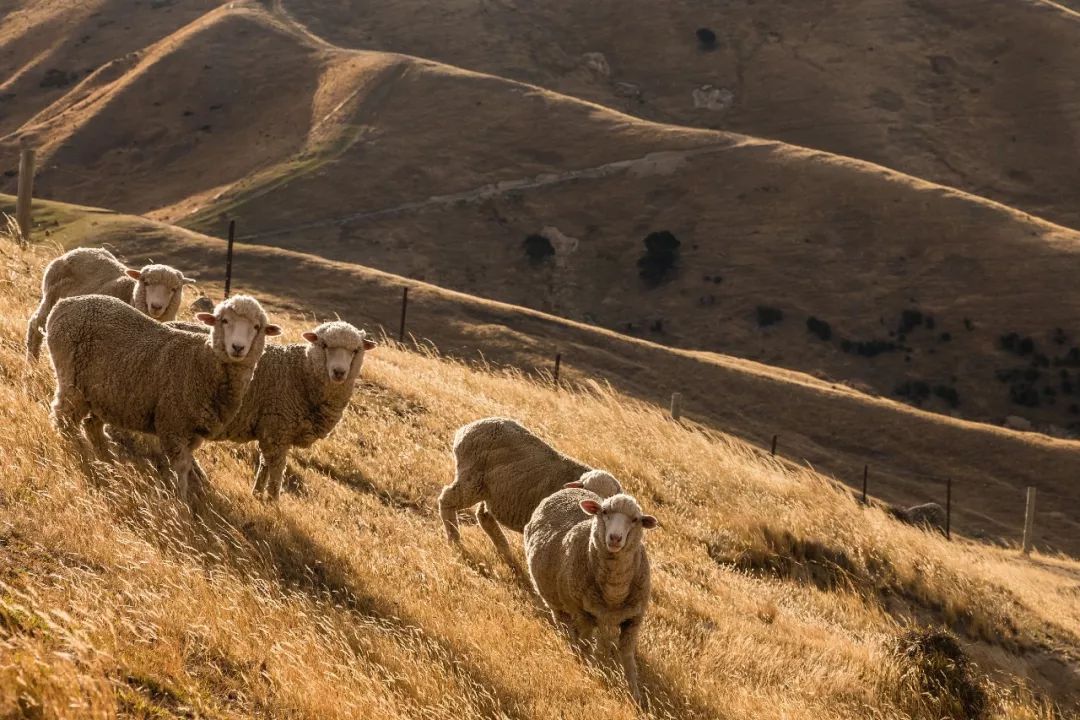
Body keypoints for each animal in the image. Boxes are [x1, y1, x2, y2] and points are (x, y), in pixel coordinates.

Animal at [26, 248, 195, 360]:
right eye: (146, 283)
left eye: (174, 289)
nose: (156, 306)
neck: (130, 295)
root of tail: (77, 250)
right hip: (50, 299)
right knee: (35, 326)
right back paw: (32, 361)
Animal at [44, 293, 280, 500]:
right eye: (224, 320)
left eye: (257, 327)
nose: (238, 347)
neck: (203, 362)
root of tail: (63, 304)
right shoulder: (173, 423)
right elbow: (181, 466)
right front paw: (180, 501)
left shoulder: (193, 432)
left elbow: (188, 463)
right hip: (72, 379)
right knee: (64, 419)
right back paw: (79, 453)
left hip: (103, 393)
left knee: (91, 426)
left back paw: (108, 462)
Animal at [173, 321, 380, 500]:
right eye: (324, 345)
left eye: (356, 350)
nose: (339, 372)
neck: (302, 372)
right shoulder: (277, 429)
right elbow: (277, 468)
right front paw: (273, 501)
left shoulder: (271, 431)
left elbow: (265, 464)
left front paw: (257, 493)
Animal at [438, 416, 626, 561]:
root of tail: (467, 428)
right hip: (472, 479)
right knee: (447, 499)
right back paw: (455, 540)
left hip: (490, 488)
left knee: (484, 515)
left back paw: (505, 552)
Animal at [522, 490, 656, 703]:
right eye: (604, 511)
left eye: (635, 519)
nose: (615, 538)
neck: (613, 595)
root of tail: (564, 491)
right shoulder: (584, 613)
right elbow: (588, 645)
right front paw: (592, 672)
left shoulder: (634, 619)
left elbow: (627, 658)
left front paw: (635, 695)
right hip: (557, 602)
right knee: (565, 626)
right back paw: (572, 649)